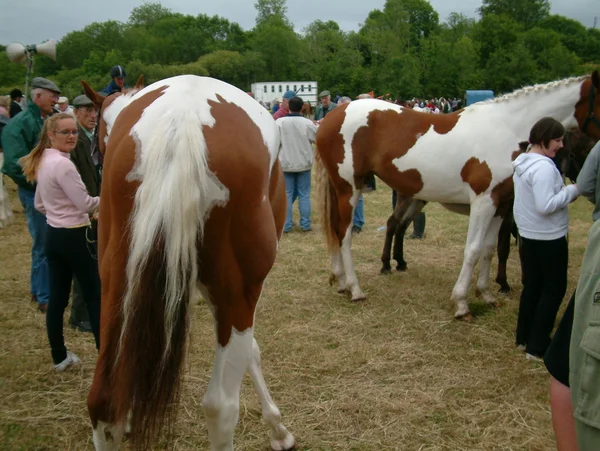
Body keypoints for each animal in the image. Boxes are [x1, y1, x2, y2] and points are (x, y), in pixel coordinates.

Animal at [81, 77, 294, 451]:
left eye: (98, 130)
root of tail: (181, 124)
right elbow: (252, 351)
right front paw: (278, 429)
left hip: (117, 282)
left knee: (102, 402)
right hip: (238, 296)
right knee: (220, 406)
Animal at [316, 71, 600, 318]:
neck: (507, 128)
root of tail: (331, 117)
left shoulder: (501, 205)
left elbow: (489, 249)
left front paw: (486, 294)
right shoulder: (484, 202)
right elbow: (473, 249)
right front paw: (462, 302)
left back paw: (341, 281)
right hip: (349, 188)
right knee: (344, 235)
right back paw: (355, 288)